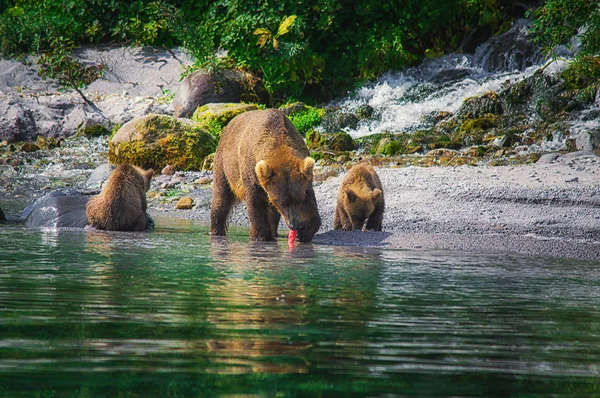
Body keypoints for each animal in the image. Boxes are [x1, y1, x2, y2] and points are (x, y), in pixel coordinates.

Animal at [212, 107, 324, 243]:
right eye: (281, 202)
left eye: (298, 200)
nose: (293, 225)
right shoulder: (251, 173)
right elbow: (256, 203)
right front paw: (261, 235)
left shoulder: (304, 180)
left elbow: (310, 201)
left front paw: (305, 232)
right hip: (225, 163)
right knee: (221, 196)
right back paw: (216, 230)